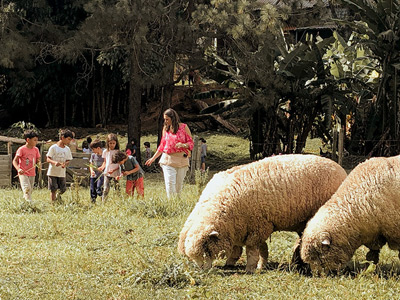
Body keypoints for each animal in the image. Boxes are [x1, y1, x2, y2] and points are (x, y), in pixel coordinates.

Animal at [178, 154, 346, 274]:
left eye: (206, 251)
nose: (202, 272)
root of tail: (340, 169)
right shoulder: (241, 226)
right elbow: (251, 247)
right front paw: (236, 263)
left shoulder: (258, 225)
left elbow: (252, 249)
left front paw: (251, 267)